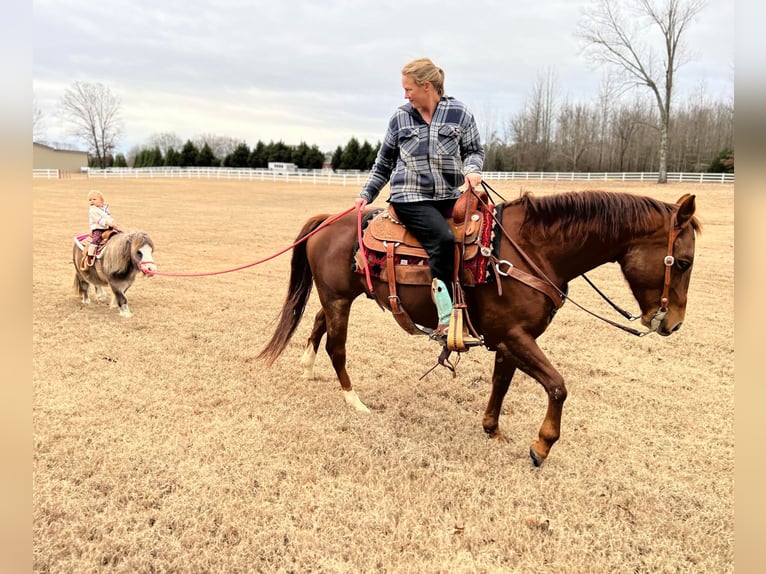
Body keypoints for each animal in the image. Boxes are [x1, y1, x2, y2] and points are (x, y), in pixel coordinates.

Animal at [260, 191, 704, 466]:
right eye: (682, 262)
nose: (674, 324)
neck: (531, 251)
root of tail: (328, 220)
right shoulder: (514, 336)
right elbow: (558, 386)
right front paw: (541, 446)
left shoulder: (511, 339)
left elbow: (501, 384)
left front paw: (493, 431)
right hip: (338, 298)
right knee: (337, 346)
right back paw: (354, 401)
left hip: (342, 296)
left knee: (319, 324)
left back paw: (306, 368)